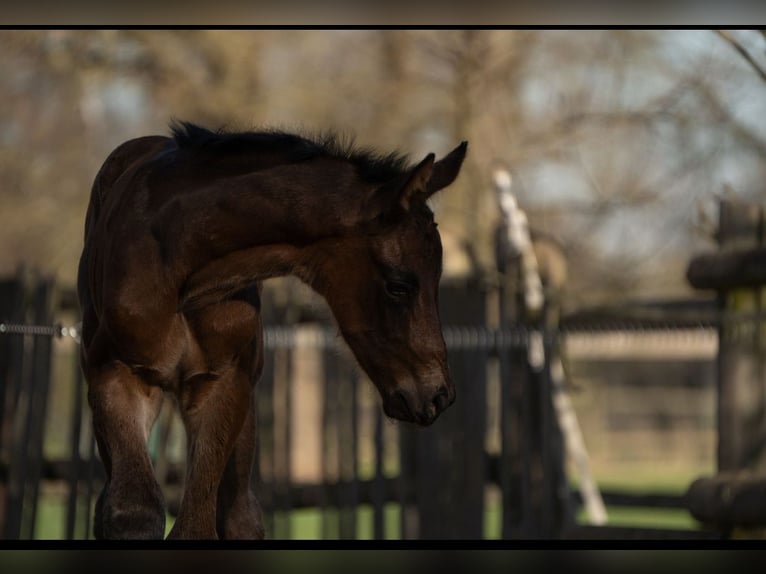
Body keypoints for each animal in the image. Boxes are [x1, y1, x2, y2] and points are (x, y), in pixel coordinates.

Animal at [77, 121, 467, 539]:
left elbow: (197, 524)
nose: (438, 395)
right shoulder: (116, 376)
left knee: (240, 515)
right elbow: (132, 512)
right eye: (399, 286)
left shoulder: (224, 383)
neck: (179, 260)